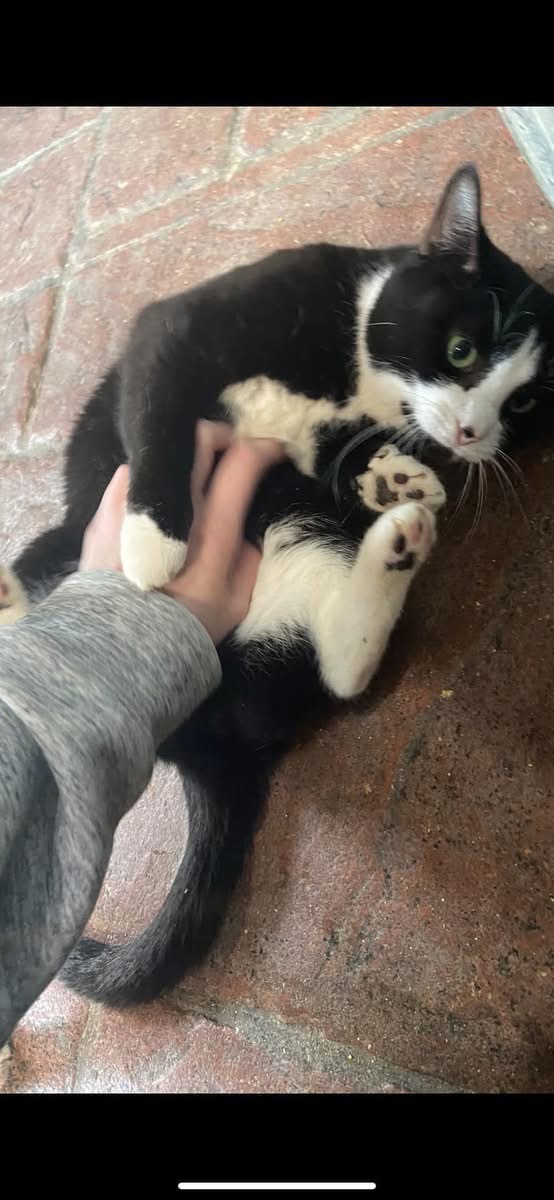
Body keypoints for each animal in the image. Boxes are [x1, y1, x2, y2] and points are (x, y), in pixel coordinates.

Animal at [1, 163, 552, 1008]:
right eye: (462, 351)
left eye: (522, 402)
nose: (470, 433)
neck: (358, 381)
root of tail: (202, 743)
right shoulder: (182, 326)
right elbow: (161, 411)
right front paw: (154, 541)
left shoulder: (329, 453)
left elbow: (347, 464)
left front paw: (399, 478)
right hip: (75, 531)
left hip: (299, 538)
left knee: (338, 674)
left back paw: (399, 543)